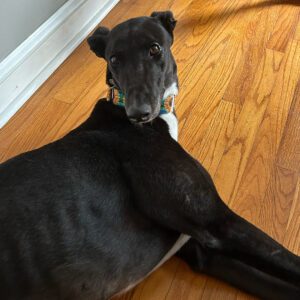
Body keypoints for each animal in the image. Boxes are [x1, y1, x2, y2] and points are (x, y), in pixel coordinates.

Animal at [0, 10, 300, 298]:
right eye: (114, 59)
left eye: (155, 48)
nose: (138, 114)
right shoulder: (217, 222)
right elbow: (288, 259)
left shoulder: (201, 249)